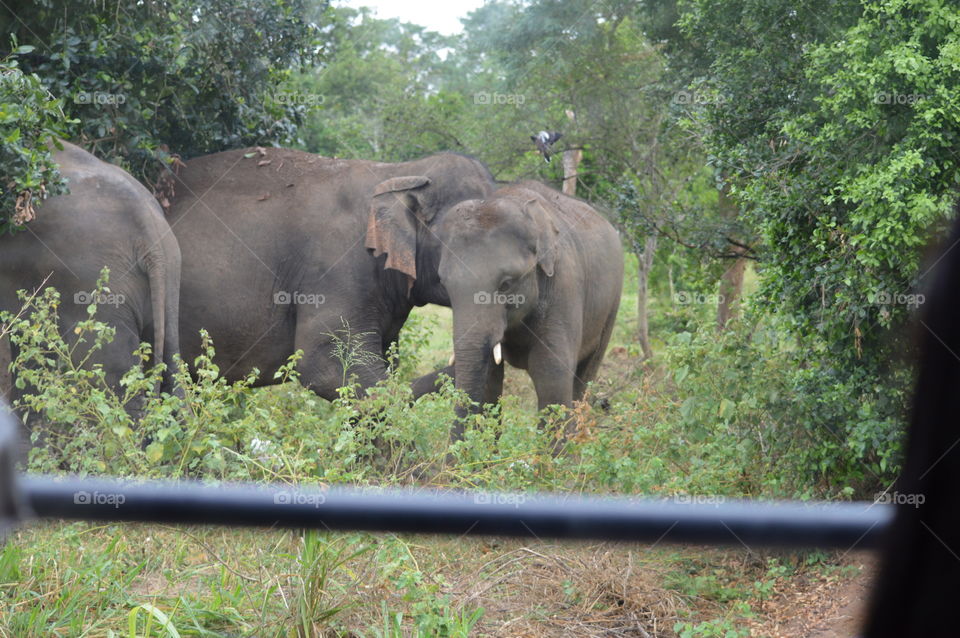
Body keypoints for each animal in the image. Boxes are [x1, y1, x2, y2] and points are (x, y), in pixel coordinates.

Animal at [424, 181, 624, 441]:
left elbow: (551, 376)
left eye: (506, 284)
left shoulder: (563, 287)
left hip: (612, 304)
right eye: (445, 285)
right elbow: (490, 381)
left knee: (584, 375)